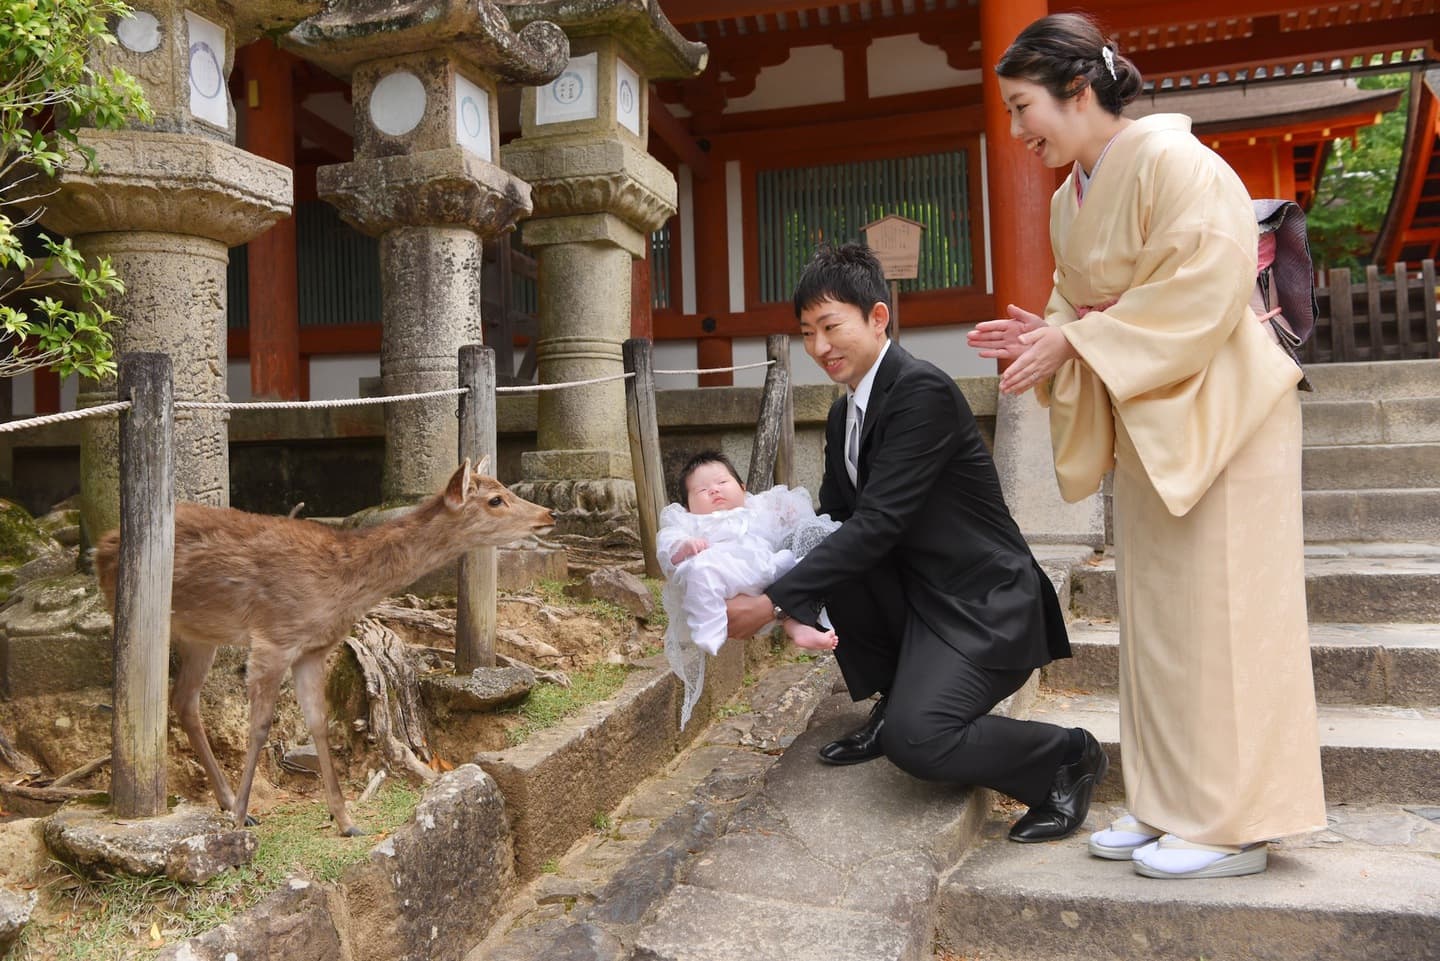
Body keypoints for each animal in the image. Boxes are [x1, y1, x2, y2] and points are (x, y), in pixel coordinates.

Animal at [90, 458, 550, 835]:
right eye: (495, 499)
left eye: (504, 487)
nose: (549, 514)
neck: (341, 585)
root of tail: (102, 546)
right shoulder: (274, 638)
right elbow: (259, 727)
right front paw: (240, 819)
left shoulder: (312, 650)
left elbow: (319, 723)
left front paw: (345, 820)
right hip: (138, 615)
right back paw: (227, 806)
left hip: (201, 635)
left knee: (184, 700)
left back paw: (224, 799)